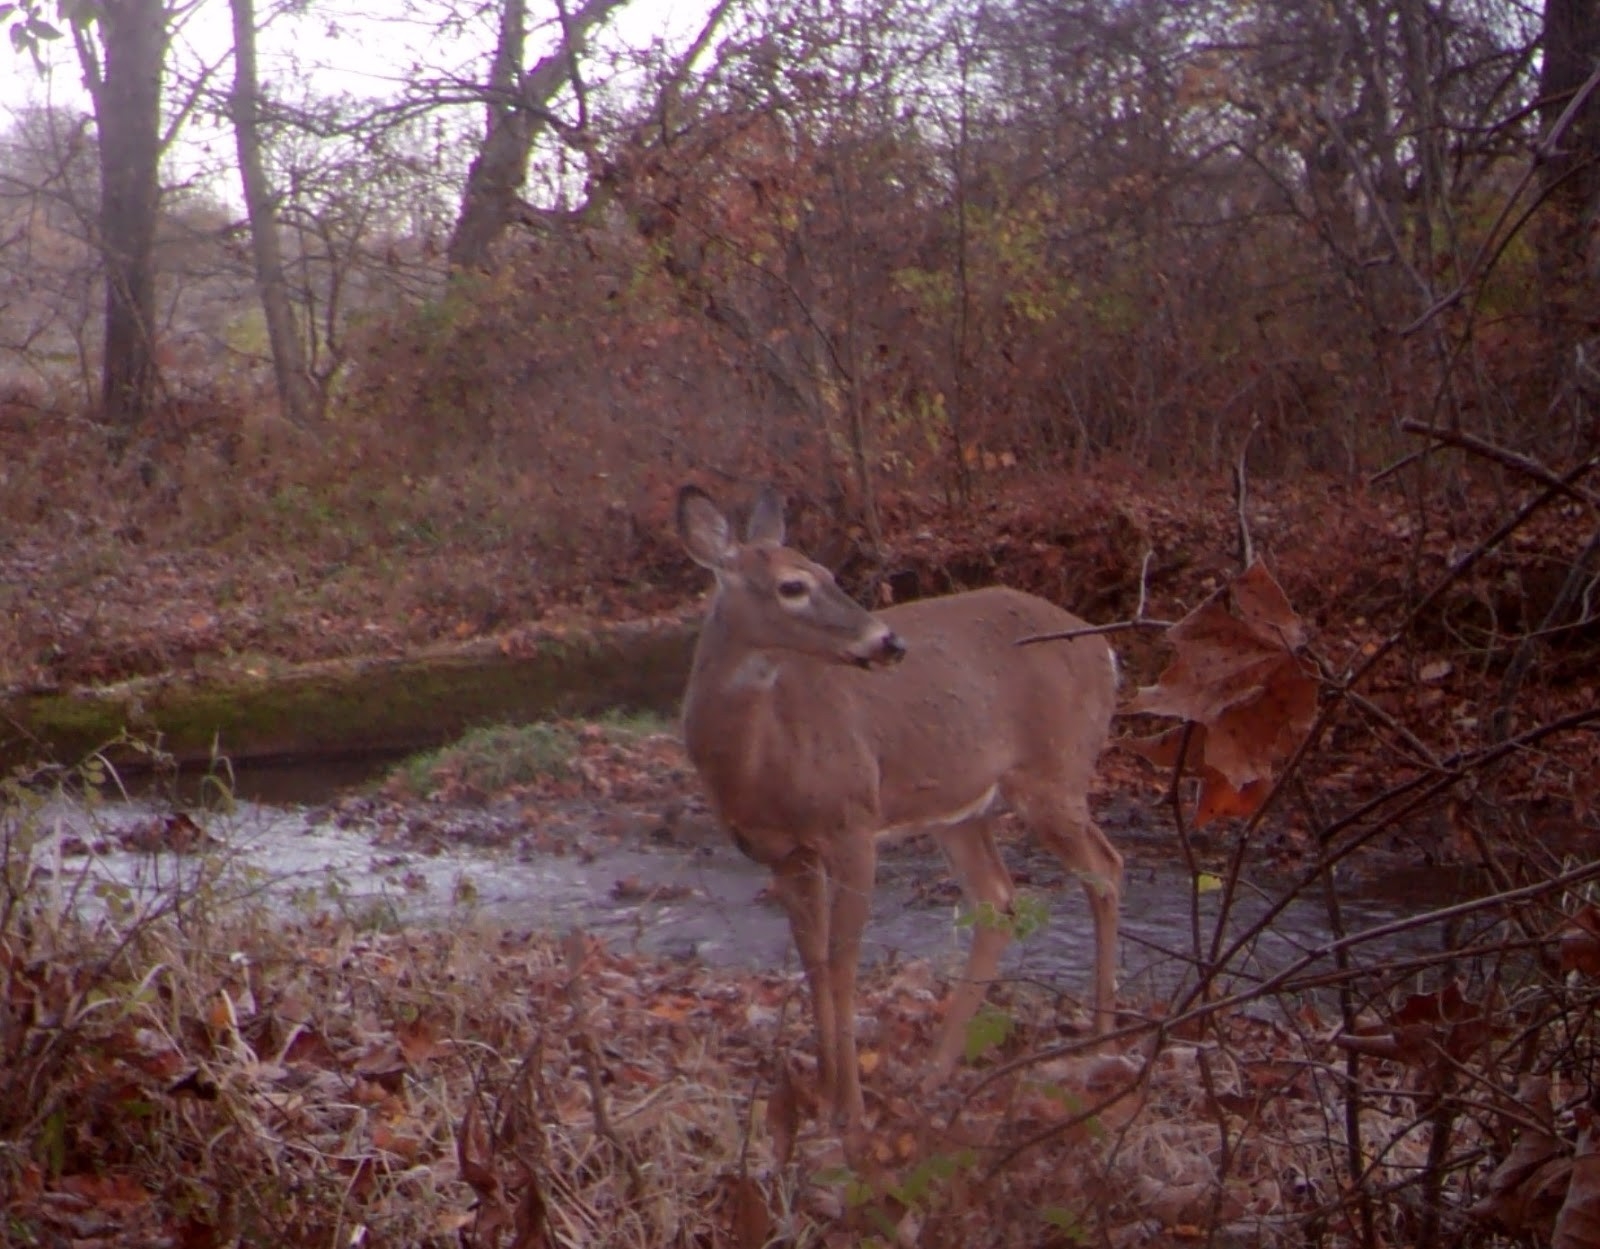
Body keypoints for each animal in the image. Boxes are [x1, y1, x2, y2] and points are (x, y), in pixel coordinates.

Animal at [675, 486, 1126, 1132]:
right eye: (792, 585)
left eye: (828, 572)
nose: (889, 642)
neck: (759, 762)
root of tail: (1105, 646)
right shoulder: (784, 852)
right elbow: (812, 963)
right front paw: (822, 1098)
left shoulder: (853, 822)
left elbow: (843, 964)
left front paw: (851, 1110)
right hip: (963, 808)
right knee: (999, 898)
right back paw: (936, 1069)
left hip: (1055, 773)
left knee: (1105, 868)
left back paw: (1100, 1040)